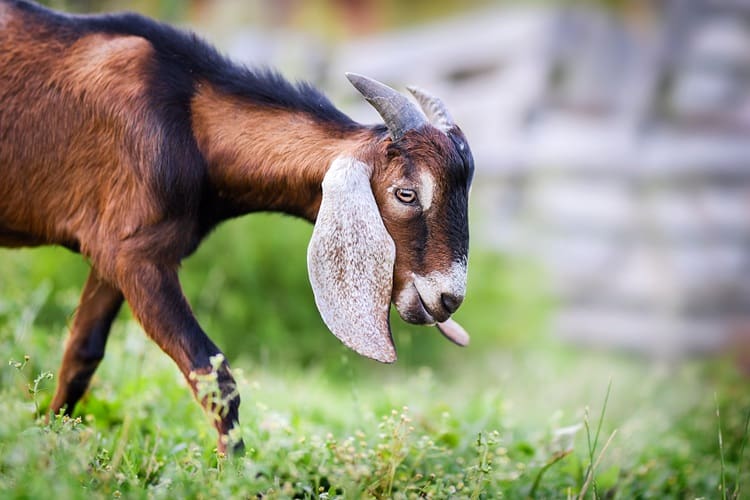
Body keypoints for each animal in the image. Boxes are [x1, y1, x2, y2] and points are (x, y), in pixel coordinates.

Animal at [0, 0, 475, 454]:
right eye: (406, 193)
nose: (449, 298)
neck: (191, 118)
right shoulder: (136, 255)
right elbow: (212, 373)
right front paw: (238, 469)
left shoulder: (109, 253)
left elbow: (82, 354)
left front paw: (48, 441)